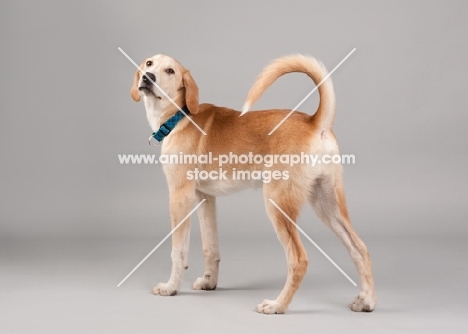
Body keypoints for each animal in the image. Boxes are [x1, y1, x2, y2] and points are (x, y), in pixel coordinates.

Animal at [129, 53, 376, 314]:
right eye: (149, 64)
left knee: (299, 259)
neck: (179, 117)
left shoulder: (180, 196)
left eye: (170, 71)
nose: (148, 77)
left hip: (278, 202)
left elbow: (178, 251)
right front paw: (209, 282)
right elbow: (210, 247)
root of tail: (314, 122)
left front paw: (171, 287)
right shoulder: (205, 197)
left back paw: (277, 305)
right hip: (327, 203)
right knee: (360, 248)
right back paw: (367, 300)